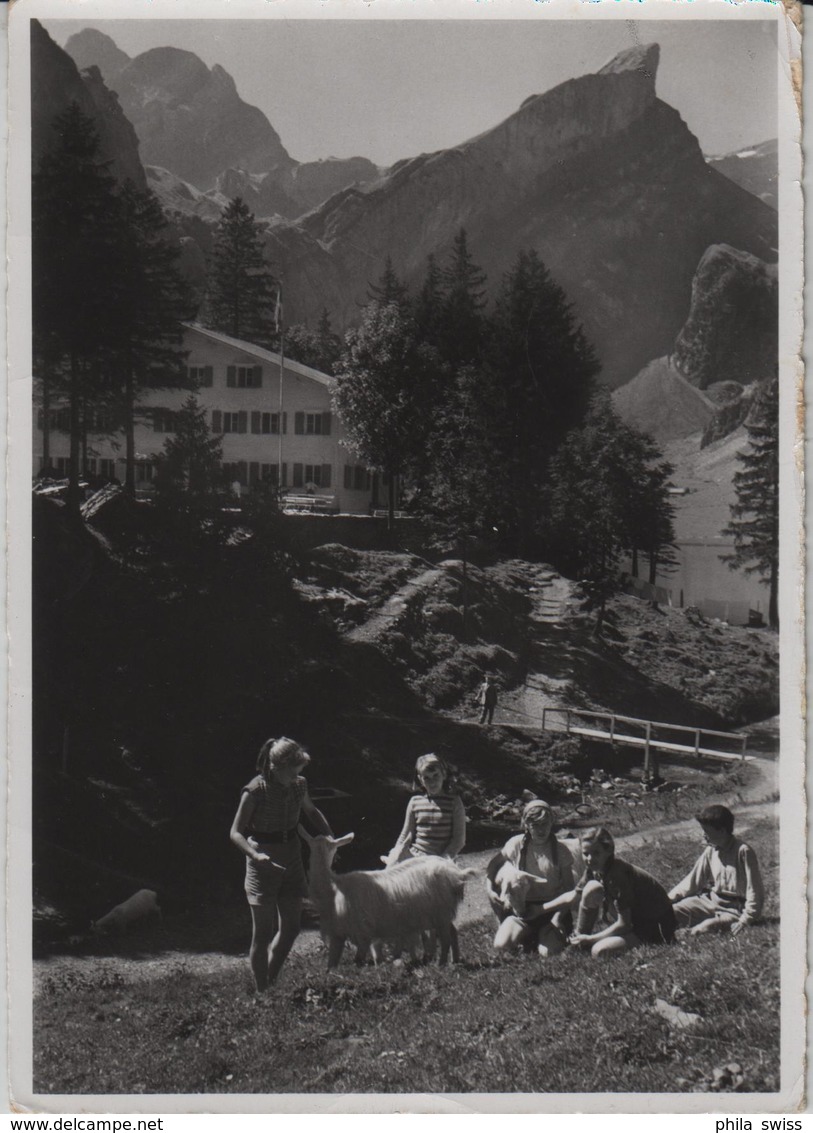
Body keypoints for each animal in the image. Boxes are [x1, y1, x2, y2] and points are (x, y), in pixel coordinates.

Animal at [303, 829, 475, 969]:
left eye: (332, 847)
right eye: (311, 845)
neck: (335, 887)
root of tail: (456, 872)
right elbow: (331, 965)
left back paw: (442, 964)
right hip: (441, 913)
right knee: (451, 932)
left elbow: (358, 961)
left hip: (440, 912)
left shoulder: (364, 933)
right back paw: (454, 960)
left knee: (445, 938)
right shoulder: (338, 935)